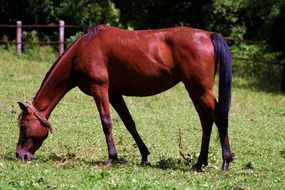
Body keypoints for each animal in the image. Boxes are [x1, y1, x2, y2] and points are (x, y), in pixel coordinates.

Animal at [16, 24, 232, 171]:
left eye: (23, 126)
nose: (20, 155)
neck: (82, 50)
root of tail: (208, 35)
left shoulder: (100, 90)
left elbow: (106, 123)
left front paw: (111, 158)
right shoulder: (114, 94)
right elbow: (129, 123)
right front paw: (144, 156)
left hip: (200, 90)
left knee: (219, 117)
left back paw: (225, 161)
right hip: (194, 90)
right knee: (206, 121)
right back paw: (200, 163)